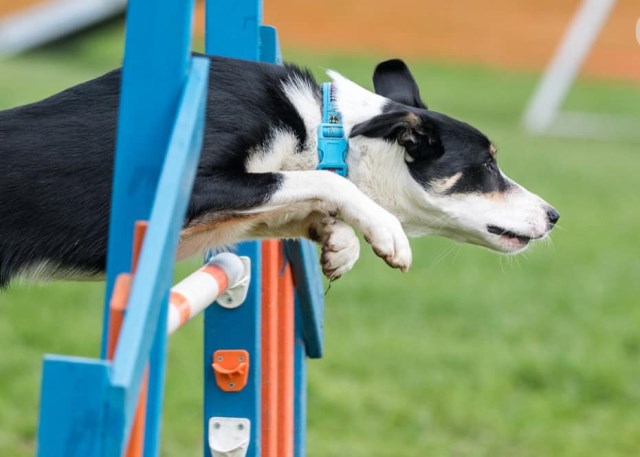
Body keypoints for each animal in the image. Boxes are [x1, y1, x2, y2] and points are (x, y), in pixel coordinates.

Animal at [0, 56, 556, 284]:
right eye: (487, 164)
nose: (554, 216)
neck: (323, 126)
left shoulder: (224, 214)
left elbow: (295, 200)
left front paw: (340, 244)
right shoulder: (189, 185)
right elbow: (322, 180)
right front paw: (386, 233)